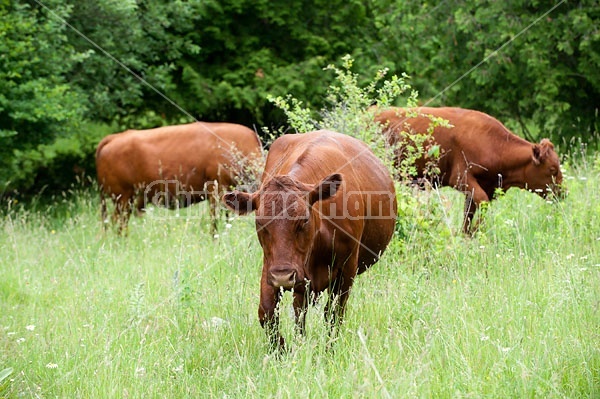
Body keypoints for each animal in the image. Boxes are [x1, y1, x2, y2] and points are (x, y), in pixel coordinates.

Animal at [95, 122, 260, 234]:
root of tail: (113, 138)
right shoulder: (217, 190)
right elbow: (215, 221)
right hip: (123, 198)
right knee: (118, 222)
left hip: (126, 200)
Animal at [223, 130, 396, 350]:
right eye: (260, 222)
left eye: (304, 220)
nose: (283, 276)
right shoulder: (271, 266)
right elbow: (267, 312)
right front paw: (283, 351)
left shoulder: (347, 269)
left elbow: (333, 315)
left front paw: (328, 351)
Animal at [372, 107, 564, 234]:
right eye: (552, 169)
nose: (563, 193)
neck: (495, 145)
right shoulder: (461, 179)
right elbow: (482, 202)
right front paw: (475, 231)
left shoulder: (477, 189)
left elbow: (469, 214)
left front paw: (466, 236)